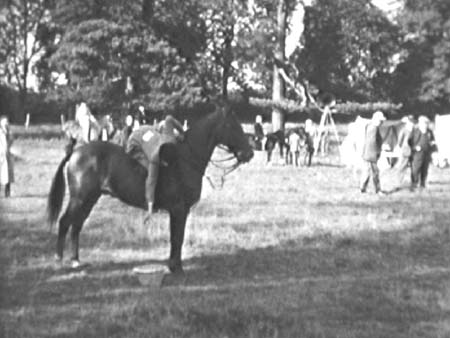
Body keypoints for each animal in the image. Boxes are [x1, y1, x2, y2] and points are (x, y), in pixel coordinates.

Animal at [48, 108, 256, 274]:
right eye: (232, 126)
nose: (249, 153)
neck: (185, 159)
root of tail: (75, 153)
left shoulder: (179, 211)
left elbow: (176, 239)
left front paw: (174, 266)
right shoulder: (179, 210)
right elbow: (177, 239)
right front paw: (176, 268)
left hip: (90, 199)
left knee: (77, 225)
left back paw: (76, 260)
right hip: (79, 199)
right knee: (65, 222)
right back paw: (59, 261)